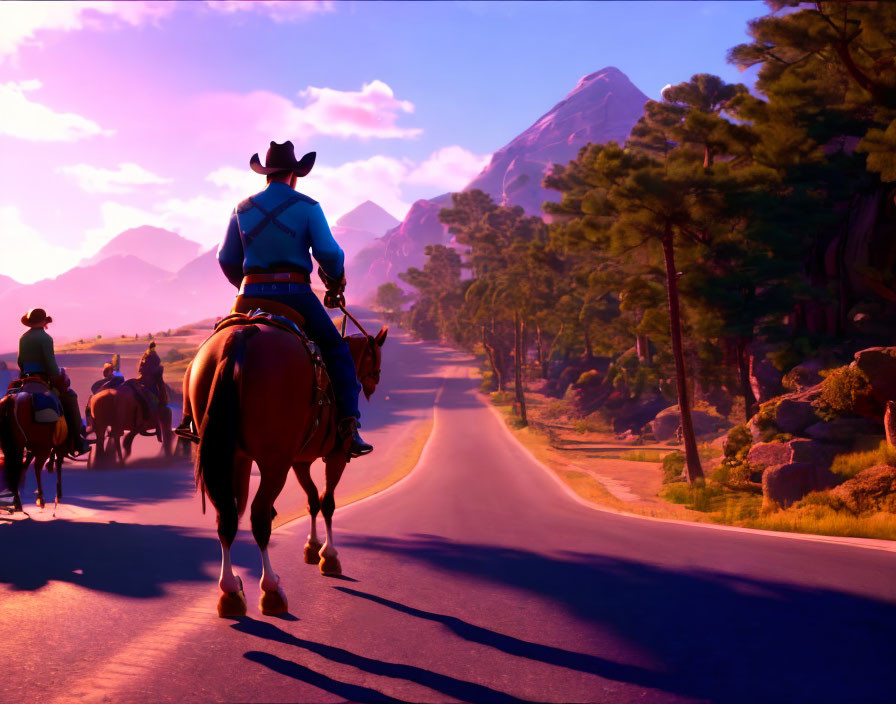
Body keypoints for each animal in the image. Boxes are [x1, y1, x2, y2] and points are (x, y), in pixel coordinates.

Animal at [1, 384, 69, 512]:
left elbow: (24, 465)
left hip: (16, 446)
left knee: (16, 468)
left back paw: (17, 502)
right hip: (41, 447)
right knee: (36, 468)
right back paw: (39, 499)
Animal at [186, 320, 384, 616]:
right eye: (376, 357)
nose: (373, 382)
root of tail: (244, 333)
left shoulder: (298, 461)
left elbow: (312, 500)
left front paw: (312, 547)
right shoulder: (335, 456)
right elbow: (327, 503)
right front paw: (329, 556)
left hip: (230, 456)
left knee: (227, 517)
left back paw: (231, 591)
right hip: (273, 462)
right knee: (259, 516)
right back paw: (270, 589)